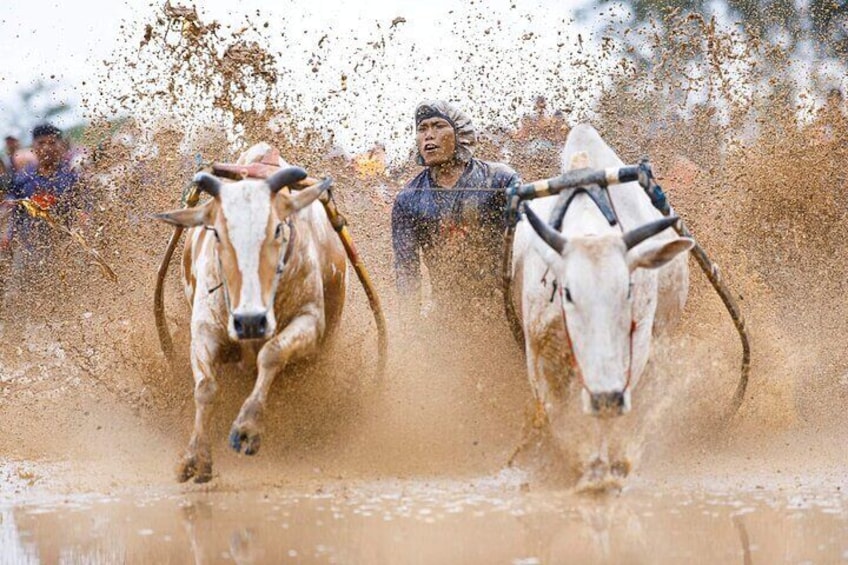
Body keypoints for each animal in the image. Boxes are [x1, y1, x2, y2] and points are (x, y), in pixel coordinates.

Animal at [154, 144, 346, 480]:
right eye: (217, 233)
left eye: (278, 229)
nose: (250, 321)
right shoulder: (203, 330)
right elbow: (205, 388)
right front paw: (196, 456)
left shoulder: (311, 322)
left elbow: (271, 353)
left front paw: (247, 427)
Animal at [510, 124, 696, 490]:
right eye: (567, 292)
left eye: (628, 289)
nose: (605, 395)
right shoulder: (537, 354)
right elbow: (557, 415)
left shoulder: (635, 350)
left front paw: (605, 471)